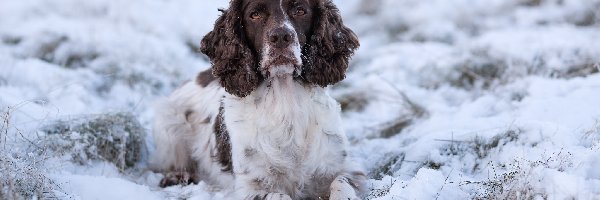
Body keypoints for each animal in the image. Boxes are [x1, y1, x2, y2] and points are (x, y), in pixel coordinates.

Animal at [150, 0, 366, 198]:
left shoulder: (345, 168)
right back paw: (178, 175)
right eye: (254, 15)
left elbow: (341, 184)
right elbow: (279, 195)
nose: (281, 37)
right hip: (168, 119)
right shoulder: (253, 186)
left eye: (300, 10)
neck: (284, 101)